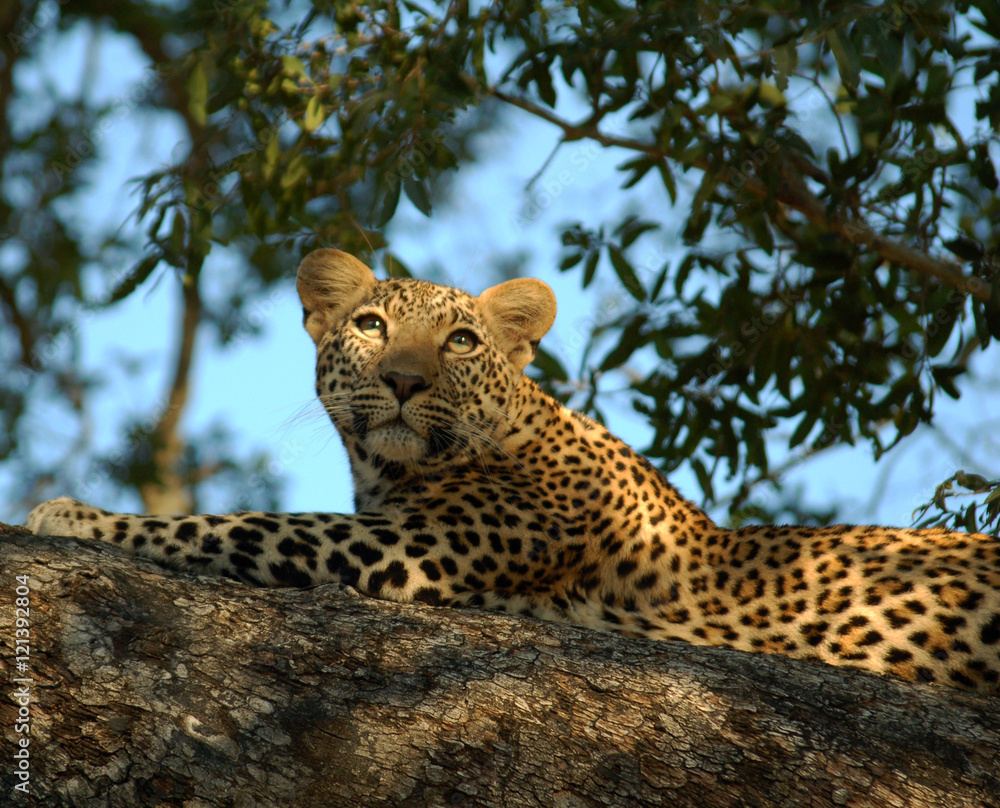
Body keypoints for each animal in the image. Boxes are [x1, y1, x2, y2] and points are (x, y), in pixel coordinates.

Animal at [26, 248, 1000, 693]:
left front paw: (75, 516)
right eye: (372, 325)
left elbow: (239, 524)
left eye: (460, 340)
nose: (405, 380)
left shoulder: (413, 548)